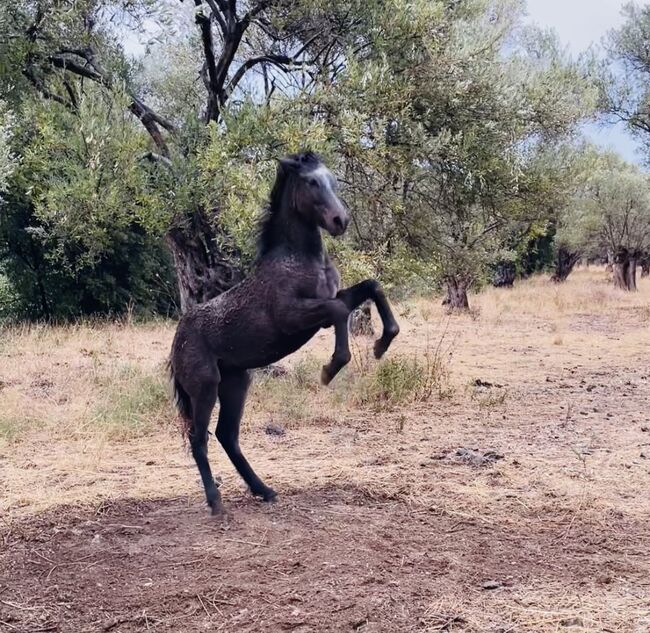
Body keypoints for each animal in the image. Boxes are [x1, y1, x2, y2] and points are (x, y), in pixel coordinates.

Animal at [170, 152, 398, 512]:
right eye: (311, 182)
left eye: (332, 179)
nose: (340, 221)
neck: (299, 259)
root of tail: (178, 337)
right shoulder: (294, 316)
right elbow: (339, 312)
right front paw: (330, 369)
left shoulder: (331, 299)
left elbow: (370, 287)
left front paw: (383, 342)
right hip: (204, 388)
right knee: (199, 438)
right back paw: (216, 503)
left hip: (236, 383)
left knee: (226, 436)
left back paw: (264, 490)